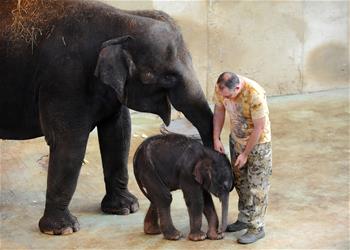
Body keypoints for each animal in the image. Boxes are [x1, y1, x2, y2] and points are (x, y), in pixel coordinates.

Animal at [0, 0, 213, 235]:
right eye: (168, 77)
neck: (124, 18)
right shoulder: (64, 80)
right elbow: (69, 142)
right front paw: (62, 230)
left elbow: (118, 133)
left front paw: (126, 208)